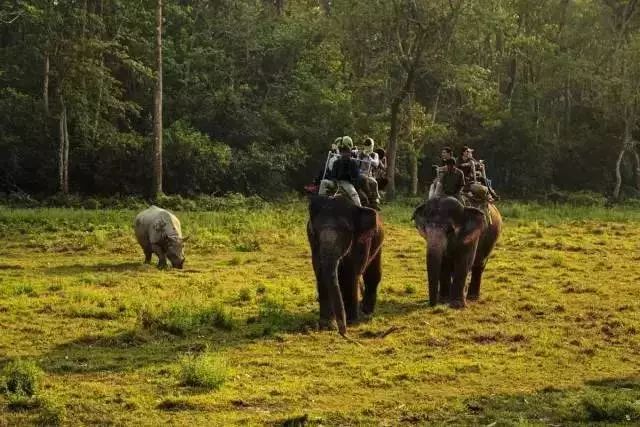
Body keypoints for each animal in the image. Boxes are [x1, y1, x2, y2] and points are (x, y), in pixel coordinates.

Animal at [306, 196, 382, 336]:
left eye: (346, 231)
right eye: (315, 231)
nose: (343, 332)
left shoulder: (362, 242)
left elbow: (351, 274)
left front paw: (352, 321)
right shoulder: (313, 244)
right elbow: (320, 273)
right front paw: (326, 325)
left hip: (378, 244)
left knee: (373, 275)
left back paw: (366, 311)